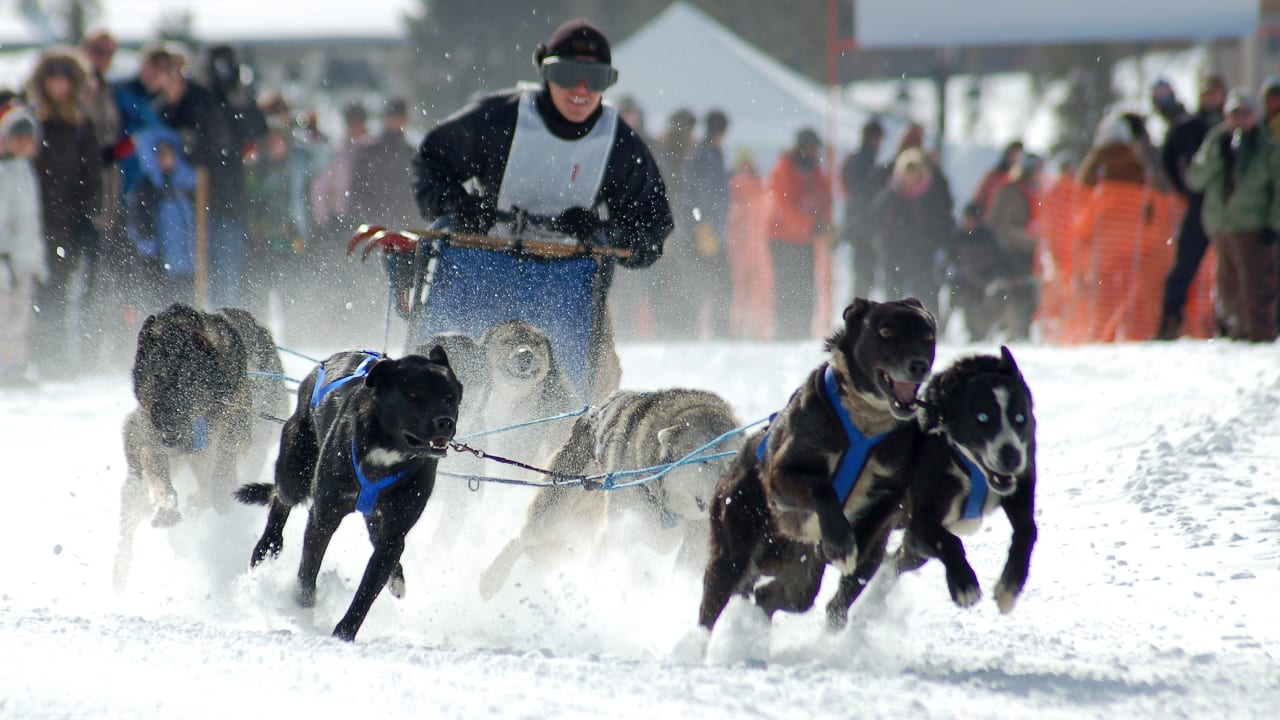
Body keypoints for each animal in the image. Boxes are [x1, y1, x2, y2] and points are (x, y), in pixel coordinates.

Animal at [115, 302, 288, 589]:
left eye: (188, 379)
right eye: (157, 376)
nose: (163, 420)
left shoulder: (235, 430)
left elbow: (222, 470)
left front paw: (217, 495)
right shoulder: (154, 444)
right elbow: (159, 476)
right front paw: (167, 507)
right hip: (136, 477)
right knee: (130, 517)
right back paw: (120, 572)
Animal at [238, 345, 463, 638]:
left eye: (450, 397)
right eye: (414, 395)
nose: (445, 422)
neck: (386, 450)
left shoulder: (394, 532)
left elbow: (368, 589)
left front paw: (344, 633)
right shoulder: (324, 516)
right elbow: (308, 571)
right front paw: (302, 612)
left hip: (374, 516)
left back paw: (396, 577)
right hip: (295, 473)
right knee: (280, 497)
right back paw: (267, 547)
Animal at [478, 389, 742, 597]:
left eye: (732, 462)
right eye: (704, 461)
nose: (727, 495)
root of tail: (590, 414)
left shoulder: (696, 536)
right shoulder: (617, 533)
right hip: (553, 518)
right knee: (520, 539)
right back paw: (490, 579)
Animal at [696, 297, 936, 632]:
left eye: (927, 337)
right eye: (886, 332)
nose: (918, 365)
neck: (865, 425)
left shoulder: (892, 488)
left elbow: (872, 521)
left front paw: (849, 544)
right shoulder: (782, 476)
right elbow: (823, 489)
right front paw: (840, 541)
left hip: (802, 575)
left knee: (775, 597)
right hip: (732, 550)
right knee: (714, 602)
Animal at [824, 345, 1034, 625]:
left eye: (1020, 417)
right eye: (982, 417)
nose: (1011, 457)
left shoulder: (1020, 490)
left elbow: (1027, 531)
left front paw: (1009, 587)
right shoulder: (921, 521)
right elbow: (949, 541)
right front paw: (964, 584)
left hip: (910, 550)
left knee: (895, 563)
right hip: (871, 545)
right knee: (841, 599)